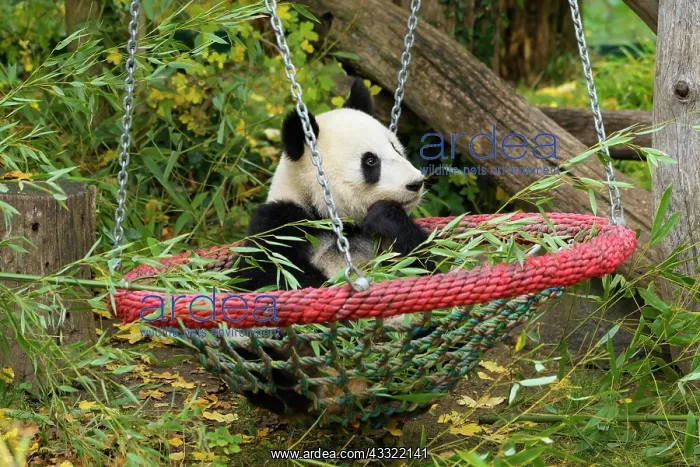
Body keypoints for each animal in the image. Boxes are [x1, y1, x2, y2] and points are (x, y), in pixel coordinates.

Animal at [230, 78, 436, 418]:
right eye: (371, 161)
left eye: (395, 147)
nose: (415, 183)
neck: (338, 221)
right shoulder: (282, 223)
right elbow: (271, 279)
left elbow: (427, 266)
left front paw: (387, 216)